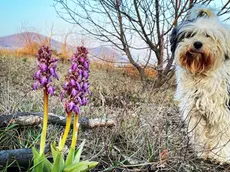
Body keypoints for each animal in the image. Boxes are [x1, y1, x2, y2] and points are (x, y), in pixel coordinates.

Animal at [170, 6, 230, 163]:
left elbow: (223, 134)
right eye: (190, 34)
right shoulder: (194, 110)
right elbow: (199, 132)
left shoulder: (222, 111)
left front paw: (220, 156)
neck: (201, 73)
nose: (197, 44)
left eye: (208, 36)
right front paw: (202, 152)